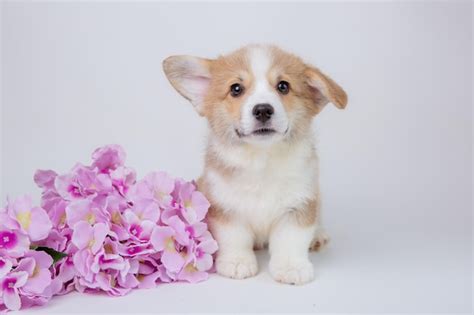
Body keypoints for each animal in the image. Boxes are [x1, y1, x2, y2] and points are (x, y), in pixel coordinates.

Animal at [164, 45, 348, 286]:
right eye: (236, 89)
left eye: (283, 86)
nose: (262, 110)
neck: (261, 159)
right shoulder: (225, 207)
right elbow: (235, 238)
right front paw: (237, 262)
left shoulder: (298, 204)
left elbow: (291, 239)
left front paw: (291, 267)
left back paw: (318, 236)